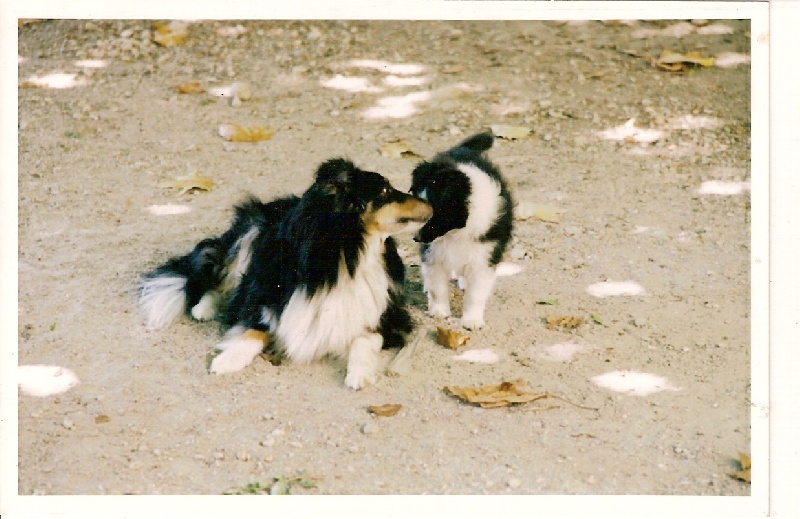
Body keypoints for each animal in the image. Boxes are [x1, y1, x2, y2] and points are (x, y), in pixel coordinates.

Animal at [141, 158, 434, 390]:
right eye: (384, 190)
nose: (429, 202)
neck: (347, 259)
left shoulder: (390, 316)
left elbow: (365, 337)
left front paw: (359, 374)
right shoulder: (266, 299)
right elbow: (254, 330)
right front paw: (227, 360)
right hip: (249, 234)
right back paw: (204, 308)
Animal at [412, 134, 512, 330]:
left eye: (436, 215)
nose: (415, 238)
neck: (455, 233)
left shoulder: (484, 258)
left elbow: (475, 294)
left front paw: (472, 320)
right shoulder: (434, 253)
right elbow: (437, 286)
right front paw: (439, 311)